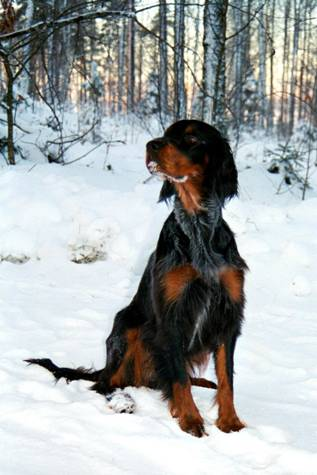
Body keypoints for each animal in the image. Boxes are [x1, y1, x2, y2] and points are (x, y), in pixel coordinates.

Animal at [25, 120, 246, 438]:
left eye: (192, 138)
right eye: (166, 133)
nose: (151, 145)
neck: (198, 228)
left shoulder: (228, 313)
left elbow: (227, 377)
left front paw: (229, 421)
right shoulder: (171, 315)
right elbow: (179, 377)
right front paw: (190, 419)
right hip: (126, 326)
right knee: (105, 384)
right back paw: (123, 401)